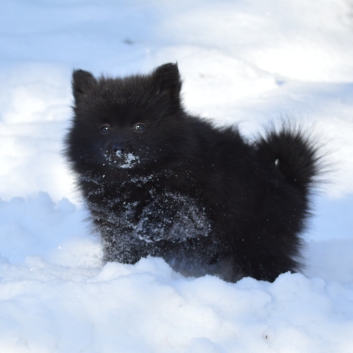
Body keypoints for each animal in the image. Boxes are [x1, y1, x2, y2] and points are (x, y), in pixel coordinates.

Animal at [64, 62, 320, 280]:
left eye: (140, 127)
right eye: (104, 129)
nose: (119, 148)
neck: (135, 180)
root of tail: (290, 181)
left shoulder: (200, 206)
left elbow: (176, 205)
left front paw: (151, 223)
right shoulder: (114, 226)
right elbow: (124, 247)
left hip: (258, 240)